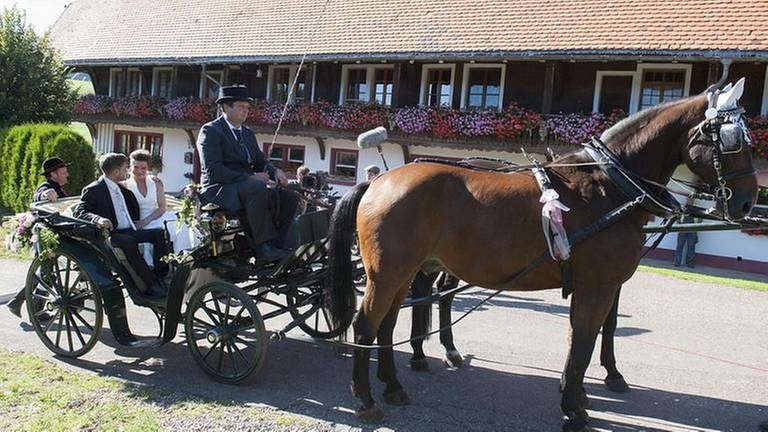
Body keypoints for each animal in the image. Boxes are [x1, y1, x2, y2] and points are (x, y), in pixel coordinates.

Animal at [324, 79, 756, 430]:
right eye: (732, 140)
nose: (748, 201)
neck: (608, 186)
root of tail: (380, 179)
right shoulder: (598, 285)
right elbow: (583, 341)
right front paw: (575, 408)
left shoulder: (602, 285)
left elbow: (588, 337)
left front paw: (581, 392)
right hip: (387, 272)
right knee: (366, 325)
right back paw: (366, 398)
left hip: (404, 271)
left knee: (389, 323)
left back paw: (395, 383)